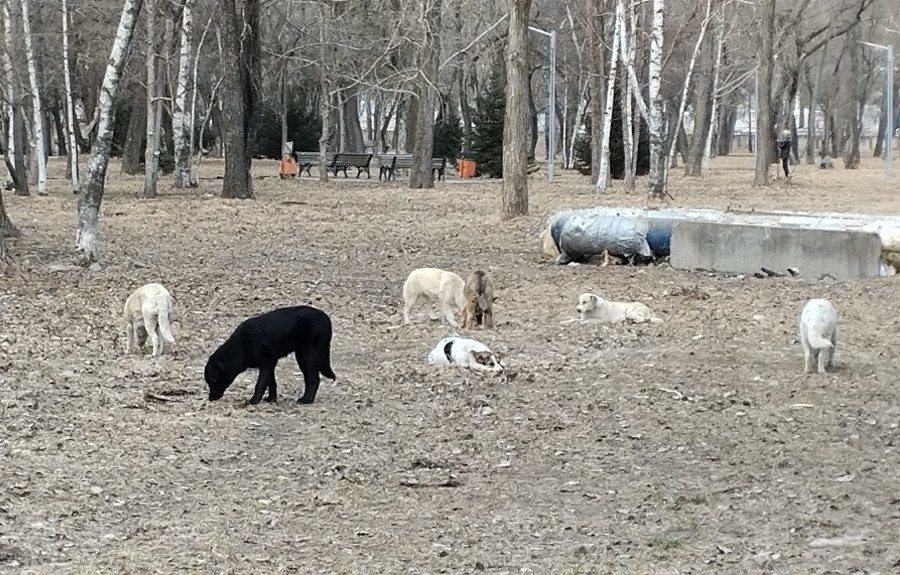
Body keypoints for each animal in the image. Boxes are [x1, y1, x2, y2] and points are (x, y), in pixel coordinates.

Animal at [204, 306, 338, 404]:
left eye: (213, 381)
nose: (210, 398)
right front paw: (271, 399)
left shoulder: (266, 364)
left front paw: (254, 401)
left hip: (307, 356)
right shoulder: (270, 364)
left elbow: (260, 384)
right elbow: (271, 383)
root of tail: (325, 317)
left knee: (313, 379)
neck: (241, 346)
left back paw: (306, 400)